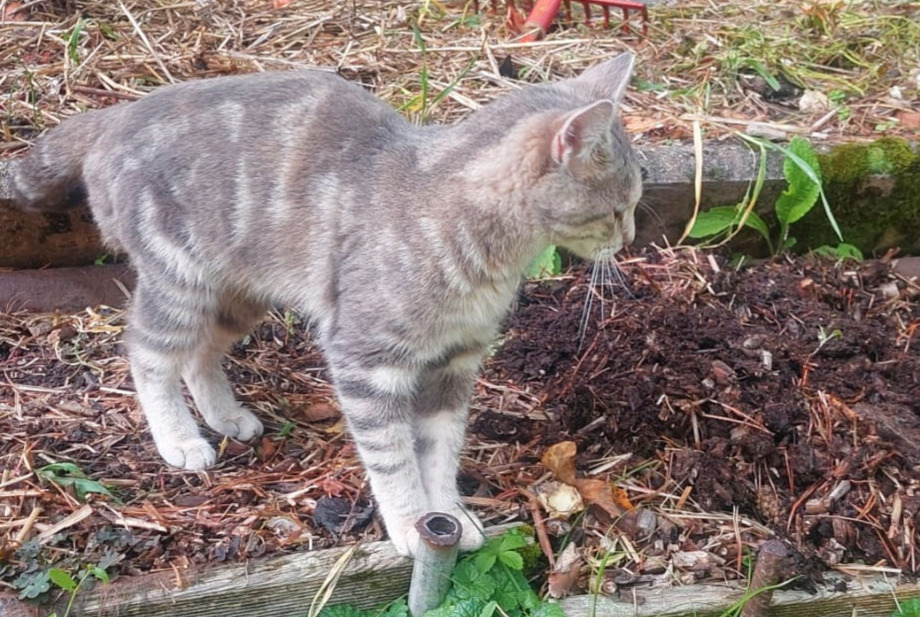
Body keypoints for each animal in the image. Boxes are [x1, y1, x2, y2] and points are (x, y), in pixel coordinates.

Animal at [1, 53, 640, 552]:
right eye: (617, 208)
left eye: (634, 202)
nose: (630, 236)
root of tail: (115, 112)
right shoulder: (366, 360)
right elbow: (393, 457)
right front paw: (411, 523)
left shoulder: (455, 364)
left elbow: (441, 451)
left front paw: (448, 515)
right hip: (179, 280)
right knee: (149, 354)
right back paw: (180, 439)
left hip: (239, 295)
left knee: (201, 354)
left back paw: (225, 415)